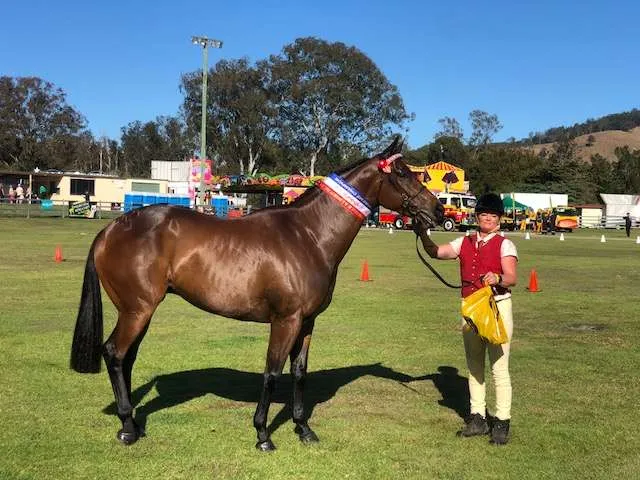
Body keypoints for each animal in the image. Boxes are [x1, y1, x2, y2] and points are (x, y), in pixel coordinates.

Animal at [70, 137, 444, 451]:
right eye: (402, 173)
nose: (439, 211)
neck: (309, 234)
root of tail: (111, 228)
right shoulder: (285, 320)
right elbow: (272, 373)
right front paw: (263, 434)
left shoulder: (307, 322)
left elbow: (299, 373)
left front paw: (303, 428)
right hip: (137, 310)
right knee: (114, 354)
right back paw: (127, 428)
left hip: (138, 311)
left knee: (126, 359)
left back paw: (133, 422)